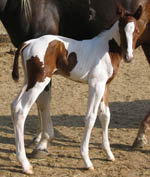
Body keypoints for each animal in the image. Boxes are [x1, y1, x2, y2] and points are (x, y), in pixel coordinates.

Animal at [0, 0, 149, 162]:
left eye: (137, 30)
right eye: (121, 30)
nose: (129, 56)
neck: (105, 48)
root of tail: (28, 43)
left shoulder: (105, 85)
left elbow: (105, 116)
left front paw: (109, 154)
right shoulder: (96, 85)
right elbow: (90, 117)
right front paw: (86, 159)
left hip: (29, 80)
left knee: (14, 106)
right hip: (39, 81)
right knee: (21, 109)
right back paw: (25, 160)